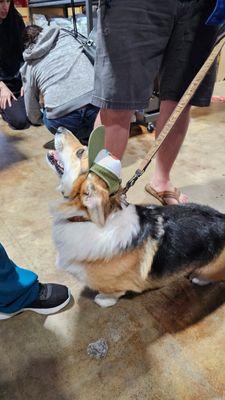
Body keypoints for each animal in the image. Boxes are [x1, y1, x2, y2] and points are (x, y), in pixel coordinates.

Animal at [46, 126, 225, 308]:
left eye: (80, 152)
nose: (60, 128)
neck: (84, 218)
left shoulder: (114, 287)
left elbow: (112, 294)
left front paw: (102, 300)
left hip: (210, 269)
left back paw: (198, 278)